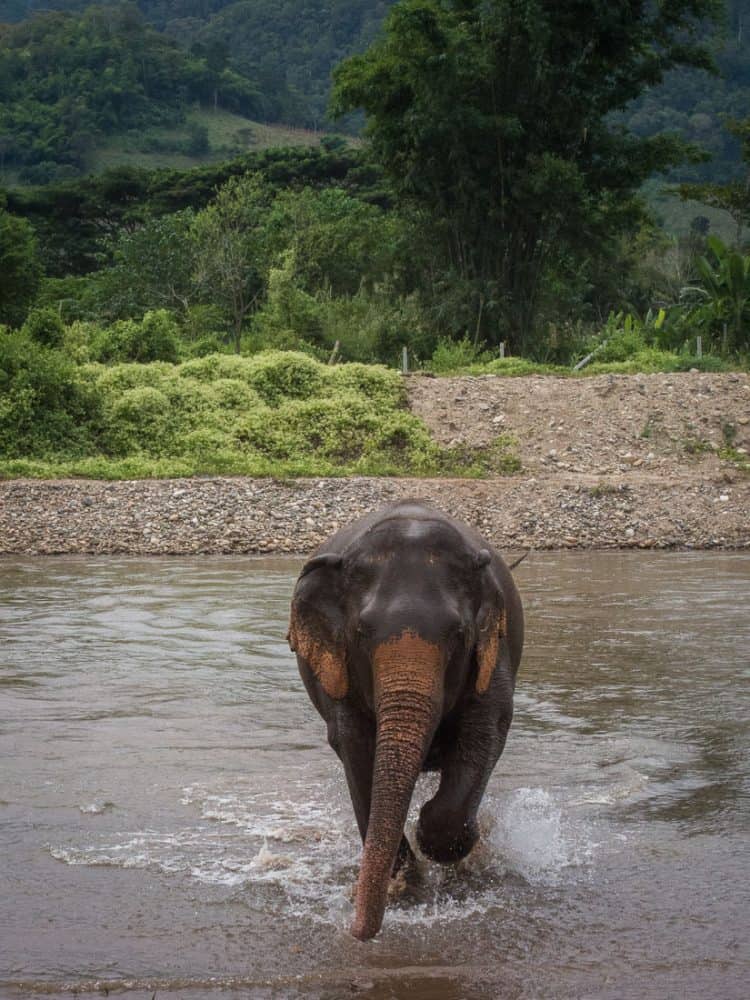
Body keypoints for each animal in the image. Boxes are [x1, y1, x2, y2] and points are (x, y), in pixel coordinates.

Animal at [288, 504, 528, 940]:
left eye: (459, 633)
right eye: (361, 632)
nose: (356, 932)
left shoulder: (494, 653)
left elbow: (487, 729)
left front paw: (450, 841)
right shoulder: (340, 675)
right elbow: (355, 750)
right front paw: (405, 890)